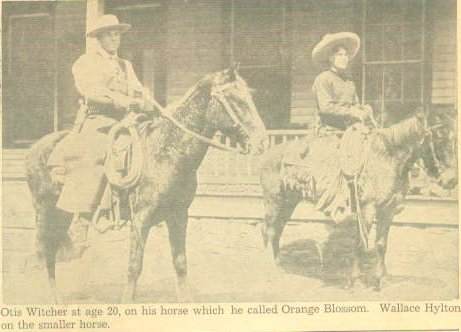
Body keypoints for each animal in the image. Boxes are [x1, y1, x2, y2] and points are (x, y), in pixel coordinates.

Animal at [25, 68, 268, 304]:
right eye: (234, 99)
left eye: (250, 96)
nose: (262, 141)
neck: (165, 152)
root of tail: (35, 147)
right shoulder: (141, 217)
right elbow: (134, 266)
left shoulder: (179, 215)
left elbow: (180, 261)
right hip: (44, 211)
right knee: (43, 251)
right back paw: (52, 297)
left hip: (61, 213)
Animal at [258, 109, 442, 290]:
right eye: (437, 137)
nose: (441, 174)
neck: (385, 159)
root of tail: (267, 154)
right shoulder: (368, 209)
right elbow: (361, 243)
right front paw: (356, 280)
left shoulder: (388, 210)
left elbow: (381, 244)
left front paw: (381, 279)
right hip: (273, 200)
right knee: (269, 230)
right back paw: (270, 266)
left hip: (288, 203)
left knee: (277, 230)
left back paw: (278, 264)